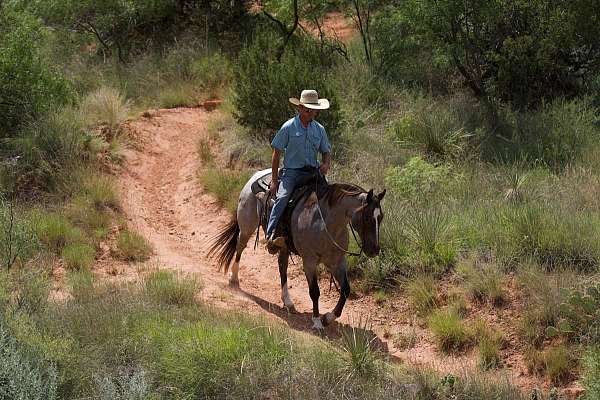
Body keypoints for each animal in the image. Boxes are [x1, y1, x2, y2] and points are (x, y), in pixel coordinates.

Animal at [207, 170, 384, 330]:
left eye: (381, 217)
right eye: (367, 217)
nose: (374, 249)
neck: (325, 224)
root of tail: (257, 175)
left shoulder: (337, 262)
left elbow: (346, 290)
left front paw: (328, 318)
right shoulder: (309, 261)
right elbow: (314, 291)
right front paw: (317, 321)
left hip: (284, 245)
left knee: (282, 266)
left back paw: (288, 302)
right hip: (246, 227)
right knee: (239, 248)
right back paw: (234, 279)